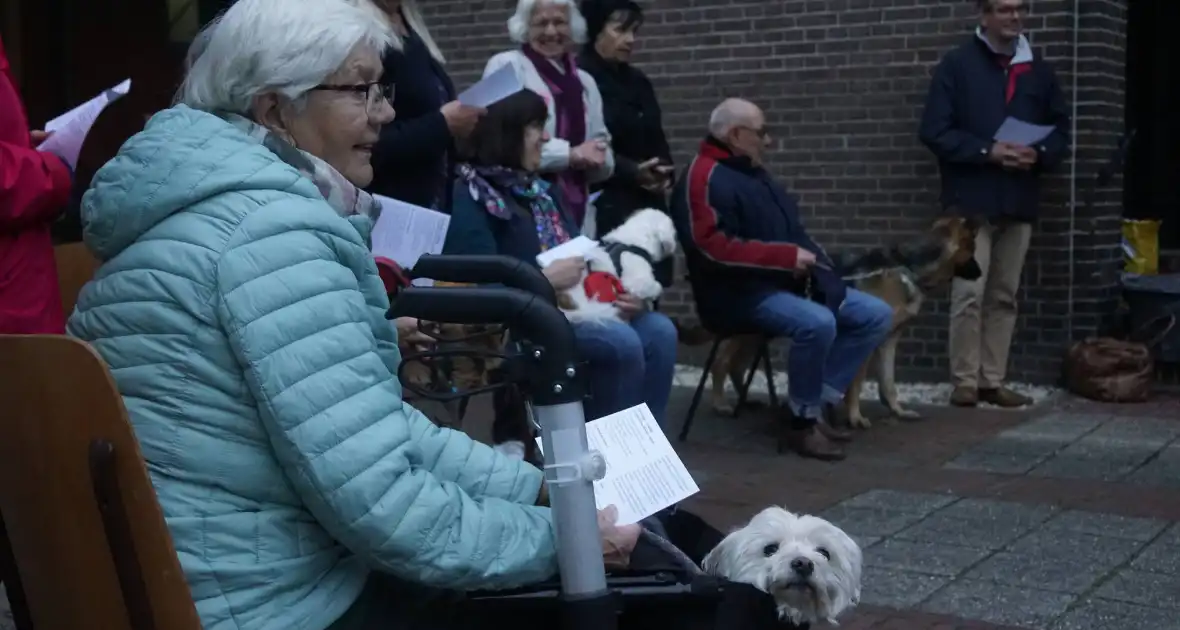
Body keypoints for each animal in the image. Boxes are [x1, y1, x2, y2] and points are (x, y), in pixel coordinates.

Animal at [679, 217, 981, 429]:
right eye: (974, 250)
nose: (979, 275)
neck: (907, 266)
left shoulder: (888, 342)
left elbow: (888, 383)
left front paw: (897, 411)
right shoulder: (869, 341)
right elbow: (857, 383)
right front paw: (855, 417)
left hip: (756, 334)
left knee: (736, 366)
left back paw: (748, 401)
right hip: (745, 331)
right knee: (720, 364)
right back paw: (721, 404)